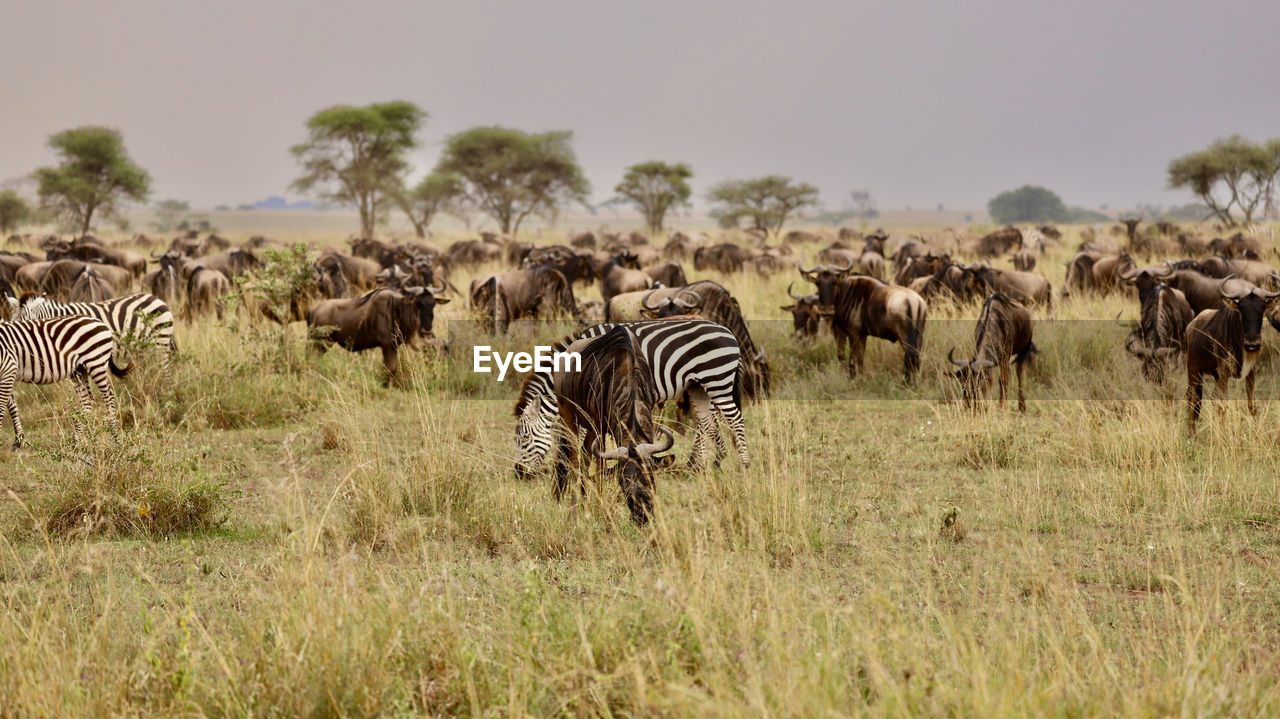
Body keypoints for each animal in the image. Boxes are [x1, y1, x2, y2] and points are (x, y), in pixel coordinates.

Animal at [0, 314, 131, 447]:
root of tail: (99, 322)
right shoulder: (6, 374)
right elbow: (11, 404)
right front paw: (18, 440)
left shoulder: (9, 368)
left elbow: (3, 405)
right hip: (79, 370)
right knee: (87, 400)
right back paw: (80, 438)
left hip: (96, 362)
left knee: (109, 396)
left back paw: (114, 438)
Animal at [512, 314, 747, 473]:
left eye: (523, 438)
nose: (518, 474)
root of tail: (728, 331)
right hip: (698, 385)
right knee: (708, 423)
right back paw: (700, 466)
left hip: (716, 378)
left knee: (735, 420)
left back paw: (742, 466)